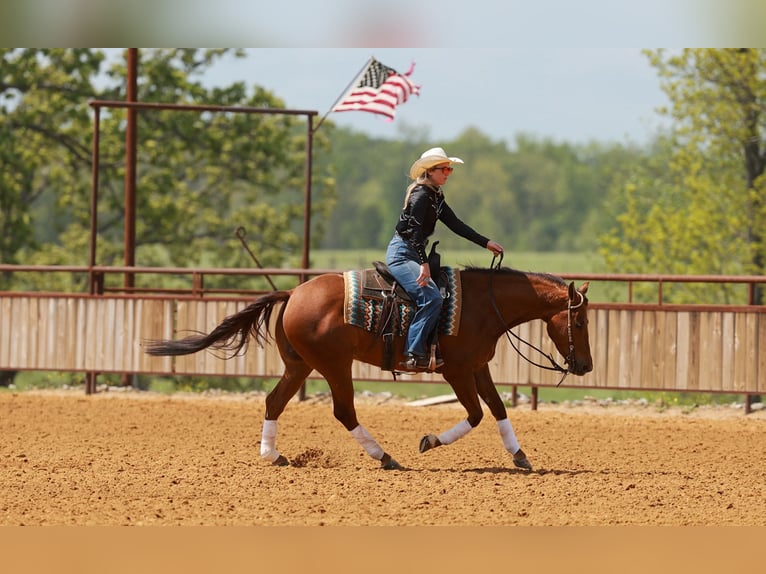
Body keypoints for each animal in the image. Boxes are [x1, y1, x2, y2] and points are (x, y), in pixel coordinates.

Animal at [144, 265, 592, 471]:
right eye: (580, 323)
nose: (586, 366)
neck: (482, 305)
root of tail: (293, 293)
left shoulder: (478, 367)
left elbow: (497, 410)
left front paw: (520, 456)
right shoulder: (456, 371)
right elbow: (476, 414)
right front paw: (429, 441)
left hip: (300, 366)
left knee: (274, 401)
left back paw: (273, 455)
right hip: (334, 365)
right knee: (344, 411)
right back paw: (385, 457)